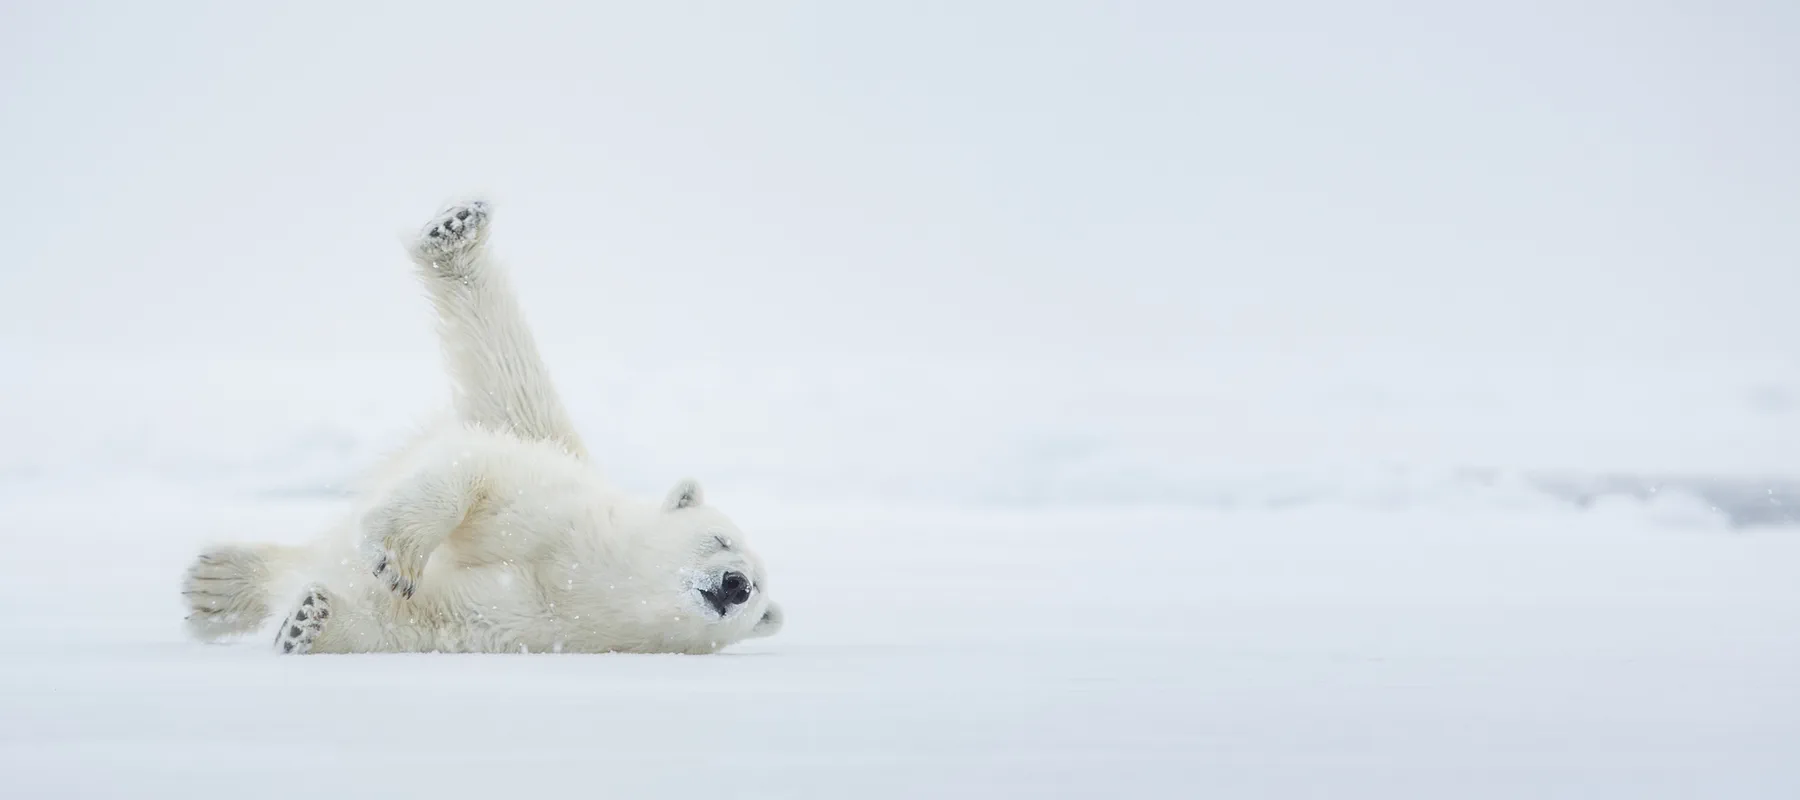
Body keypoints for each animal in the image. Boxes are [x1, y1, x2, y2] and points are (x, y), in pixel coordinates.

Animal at [180, 200, 783, 654]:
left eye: (757, 597)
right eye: (721, 538)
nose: (736, 583)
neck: (592, 573)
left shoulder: (543, 623)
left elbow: (430, 620)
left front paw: (311, 619)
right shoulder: (552, 508)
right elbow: (479, 476)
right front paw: (395, 553)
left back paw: (214, 588)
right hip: (531, 427)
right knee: (504, 364)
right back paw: (455, 232)